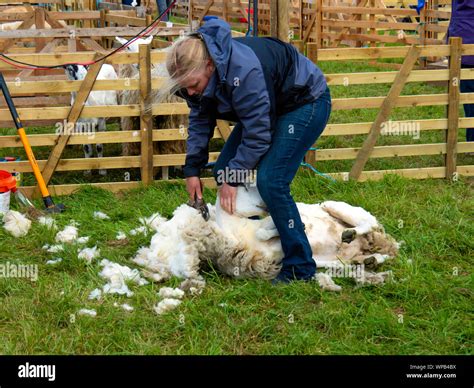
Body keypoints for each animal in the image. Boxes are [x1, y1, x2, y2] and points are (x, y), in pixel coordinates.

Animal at [131, 185, 398, 292]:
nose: (266, 202)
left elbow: (278, 226)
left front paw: (293, 224)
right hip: (332, 259)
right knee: (368, 255)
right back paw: (369, 259)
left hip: (336, 206)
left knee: (369, 224)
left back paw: (352, 233)